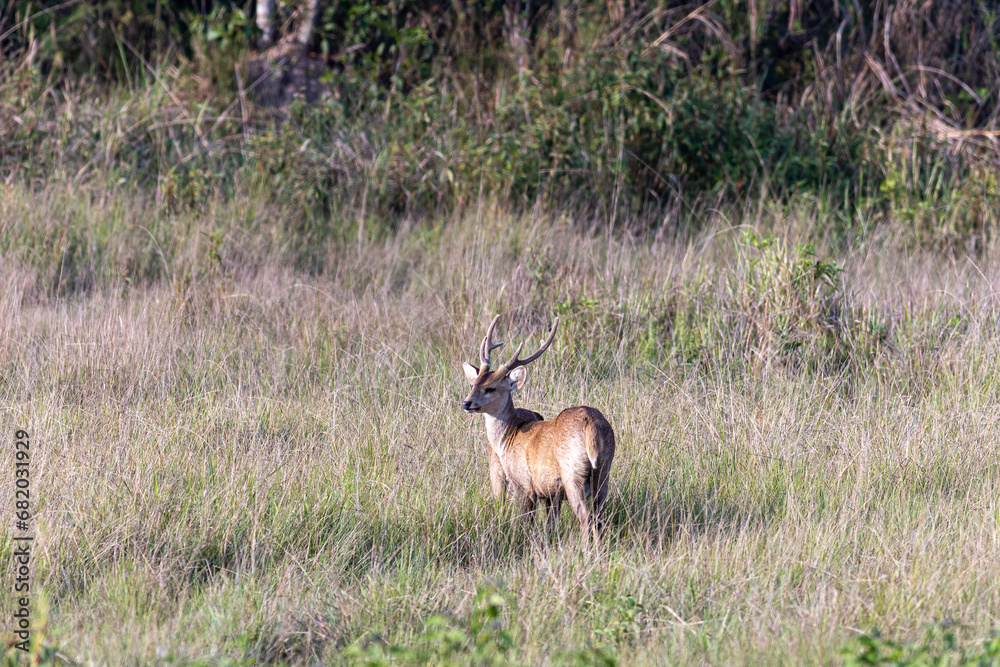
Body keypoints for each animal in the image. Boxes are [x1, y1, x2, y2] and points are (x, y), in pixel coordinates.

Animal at [462, 315, 616, 547]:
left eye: (491, 388)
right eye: (473, 384)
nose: (466, 403)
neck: (508, 437)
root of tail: (591, 424)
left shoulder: (523, 484)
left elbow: (525, 522)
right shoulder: (550, 493)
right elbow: (551, 525)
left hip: (572, 472)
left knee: (586, 516)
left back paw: (586, 551)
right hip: (604, 470)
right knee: (599, 516)